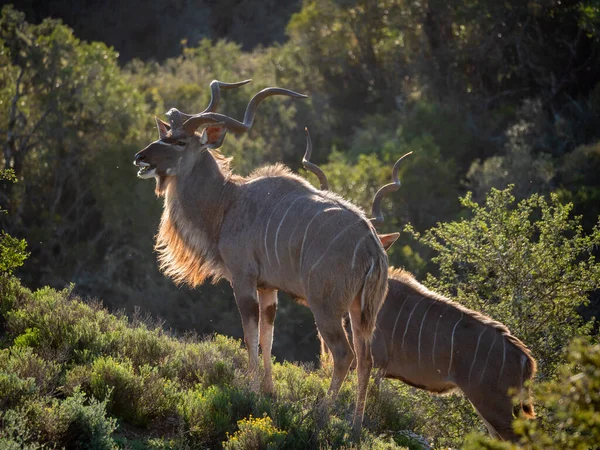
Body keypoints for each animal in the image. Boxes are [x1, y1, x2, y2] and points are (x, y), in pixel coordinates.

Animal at [134, 81, 390, 432]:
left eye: (180, 141)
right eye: (166, 134)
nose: (140, 157)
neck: (227, 202)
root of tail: (372, 246)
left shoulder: (243, 279)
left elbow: (249, 334)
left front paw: (252, 391)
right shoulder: (268, 287)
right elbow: (267, 337)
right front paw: (270, 391)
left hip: (325, 306)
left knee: (343, 355)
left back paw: (322, 414)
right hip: (361, 312)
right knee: (366, 359)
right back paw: (355, 425)